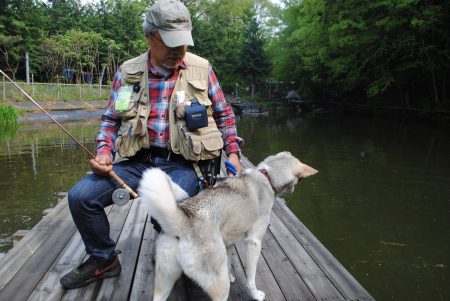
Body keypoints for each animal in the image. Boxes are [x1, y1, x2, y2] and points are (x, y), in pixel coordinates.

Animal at [139, 152, 318, 300]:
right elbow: (251, 279)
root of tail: (185, 221)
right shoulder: (254, 242)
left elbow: (230, 262)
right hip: (220, 288)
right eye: (300, 179)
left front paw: (231, 275)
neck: (266, 175)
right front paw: (255, 295)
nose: (293, 190)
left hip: (164, 283)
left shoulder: (229, 242)